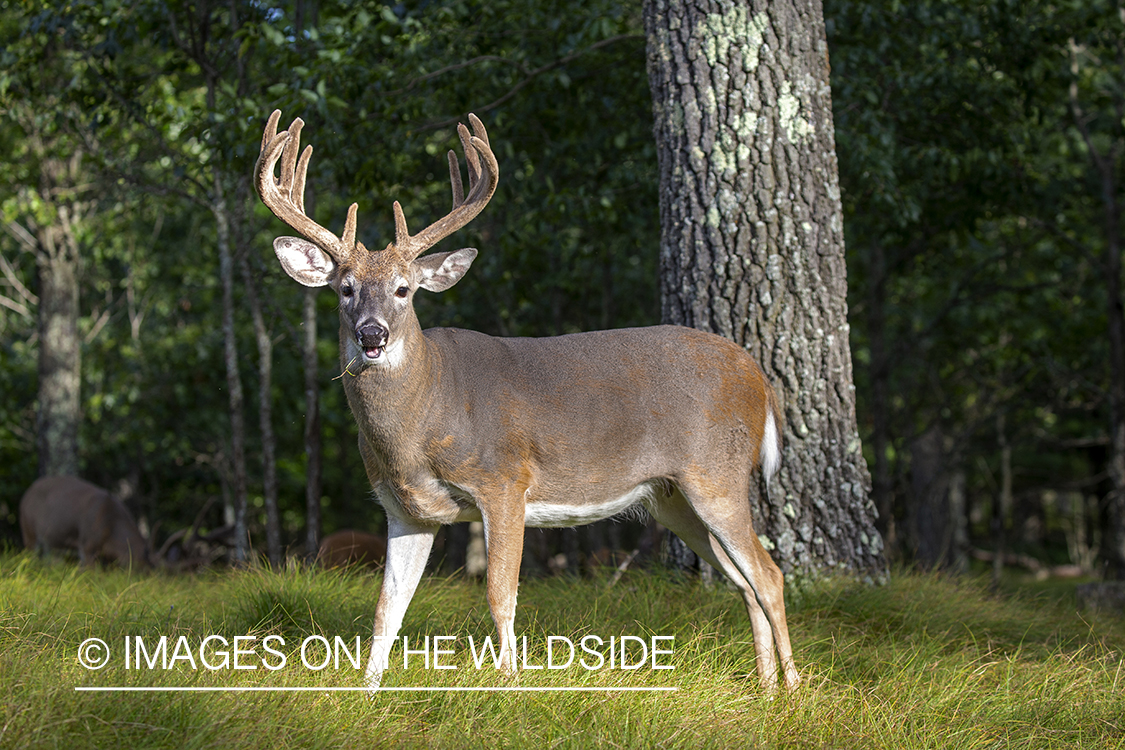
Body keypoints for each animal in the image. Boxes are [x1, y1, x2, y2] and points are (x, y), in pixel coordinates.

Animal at [255, 110, 801, 692]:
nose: (372, 335)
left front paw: (510, 684)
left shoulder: (504, 481)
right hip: (673, 498)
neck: (424, 417)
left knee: (769, 575)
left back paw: (792, 690)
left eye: (404, 289)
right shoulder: (405, 509)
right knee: (742, 580)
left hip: (717, 473)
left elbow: (500, 595)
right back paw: (766, 686)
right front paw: (367, 694)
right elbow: (386, 609)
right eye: (345, 288)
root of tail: (759, 376)